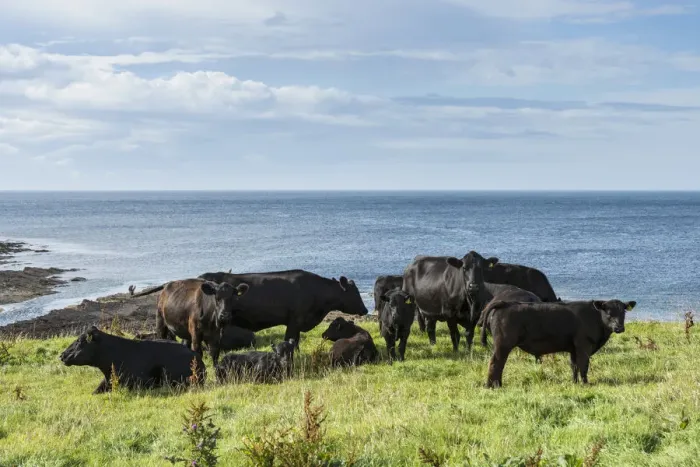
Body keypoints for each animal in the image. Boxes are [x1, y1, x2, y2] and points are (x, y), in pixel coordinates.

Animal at [403, 251, 539, 352]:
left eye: (481, 268)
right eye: (464, 268)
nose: (473, 286)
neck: (469, 302)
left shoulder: (476, 314)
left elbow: (469, 335)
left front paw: (468, 351)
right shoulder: (450, 314)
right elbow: (455, 335)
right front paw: (456, 351)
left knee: (431, 327)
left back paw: (433, 344)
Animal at [480, 299, 637, 388]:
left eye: (623, 312)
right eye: (608, 312)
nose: (619, 328)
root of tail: (505, 303)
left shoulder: (573, 348)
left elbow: (574, 366)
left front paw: (575, 383)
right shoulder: (583, 346)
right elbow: (584, 366)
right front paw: (586, 383)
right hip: (503, 344)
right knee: (495, 363)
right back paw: (492, 386)